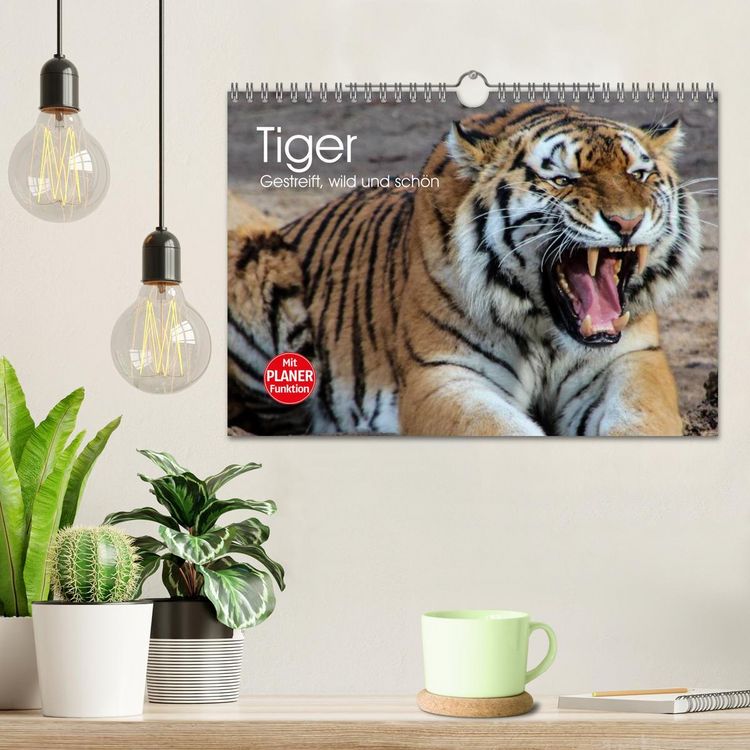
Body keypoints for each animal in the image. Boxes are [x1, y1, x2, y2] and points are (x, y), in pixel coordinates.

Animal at [228, 103, 701, 436]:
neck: (546, 329)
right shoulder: (444, 374)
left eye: (639, 175)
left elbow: (642, 418)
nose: (626, 222)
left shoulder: (631, 359)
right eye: (562, 180)